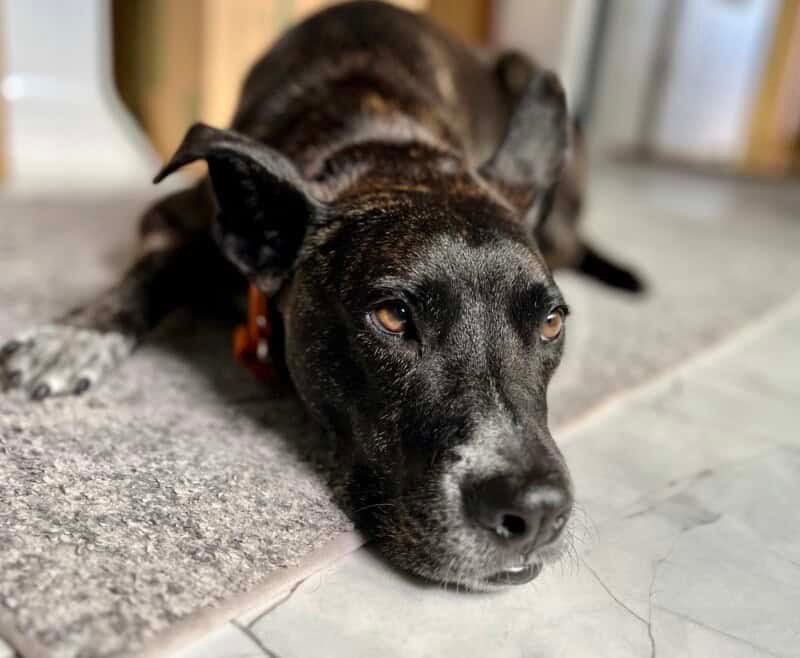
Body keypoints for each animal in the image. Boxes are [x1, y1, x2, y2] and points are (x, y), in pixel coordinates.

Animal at [0, 0, 640, 584]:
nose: (536, 512)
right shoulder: (171, 216)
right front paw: (75, 336)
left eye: (551, 322)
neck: (385, 147)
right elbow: (152, 271)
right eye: (392, 316)